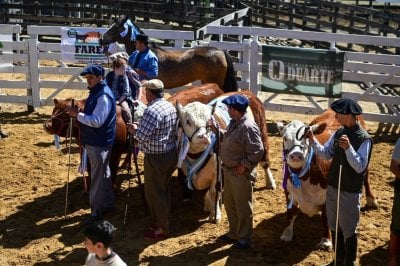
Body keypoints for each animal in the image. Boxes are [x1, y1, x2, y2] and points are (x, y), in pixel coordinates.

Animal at [177, 90, 276, 223]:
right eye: (187, 121)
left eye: (209, 120)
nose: (203, 137)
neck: (196, 156)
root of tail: (245, 92)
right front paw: (208, 205)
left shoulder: (217, 172)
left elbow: (214, 192)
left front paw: (215, 214)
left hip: (262, 134)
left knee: (264, 161)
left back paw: (270, 182)